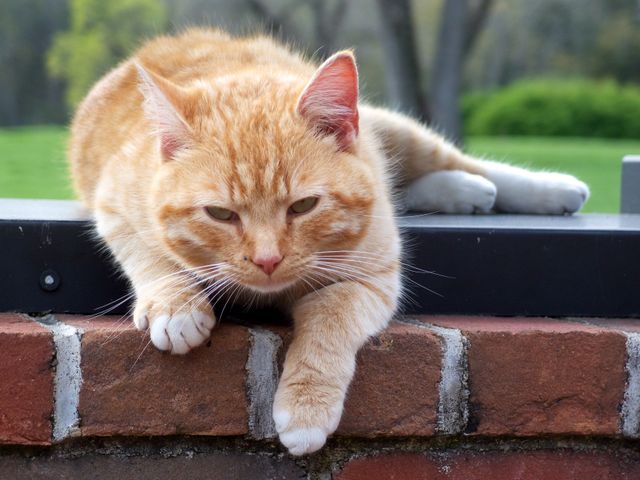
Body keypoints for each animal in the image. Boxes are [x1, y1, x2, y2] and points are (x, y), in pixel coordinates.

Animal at [69, 28, 592, 456]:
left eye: (303, 206)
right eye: (221, 214)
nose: (266, 259)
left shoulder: (374, 278)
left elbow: (329, 321)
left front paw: (305, 409)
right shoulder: (113, 202)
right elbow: (147, 252)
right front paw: (176, 305)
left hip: (394, 131)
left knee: (462, 163)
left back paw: (547, 189)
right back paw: (465, 193)